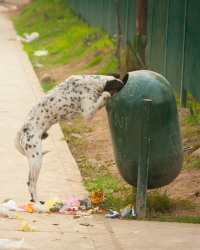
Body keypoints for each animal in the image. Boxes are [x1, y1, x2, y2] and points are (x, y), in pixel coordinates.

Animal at [14, 73, 123, 203]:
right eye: (120, 87)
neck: (91, 82)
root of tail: (22, 129)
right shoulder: (88, 113)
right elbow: (103, 96)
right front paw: (106, 94)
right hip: (37, 159)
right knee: (32, 186)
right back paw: (39, 205)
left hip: (33, 159)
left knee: (28, 182)